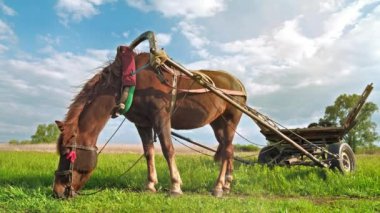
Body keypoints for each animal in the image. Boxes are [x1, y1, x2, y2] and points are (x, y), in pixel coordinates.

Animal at [52, 46, 246, 198]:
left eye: (68, 153)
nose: (57, 191)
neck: (129, 82)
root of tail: (239, 84)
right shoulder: (143, 123)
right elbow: (149, 152)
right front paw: (150, 185)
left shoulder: (161, 117)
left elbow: (168, 149)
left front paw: (175, 186)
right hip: (218, 124)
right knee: (229, 150)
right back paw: (227, 184)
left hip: (230, 122)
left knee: (226, 152)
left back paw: (218, 187)